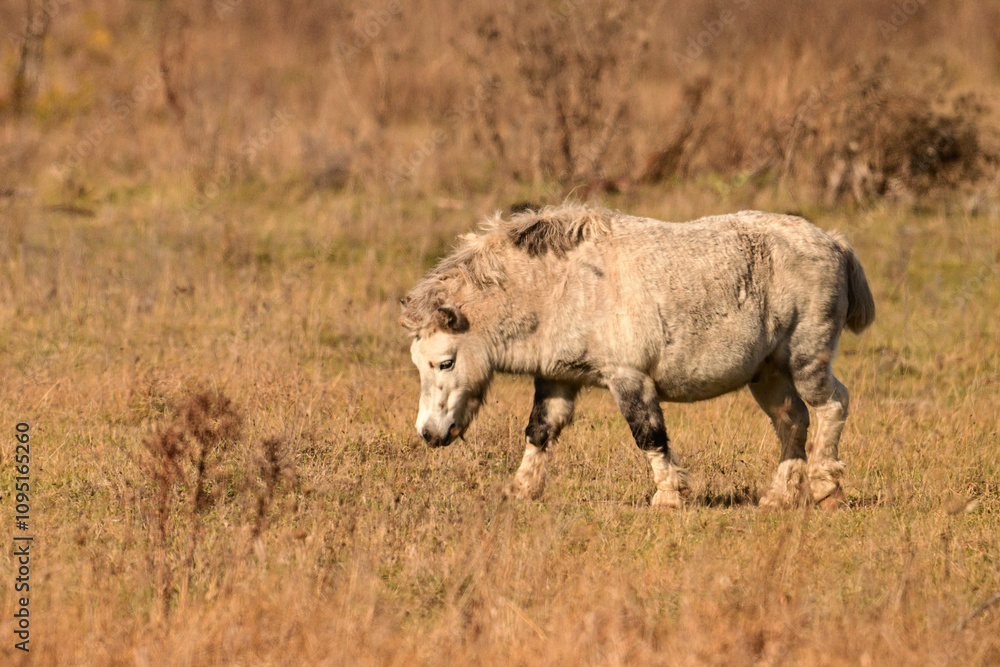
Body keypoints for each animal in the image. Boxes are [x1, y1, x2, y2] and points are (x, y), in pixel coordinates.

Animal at [399, 203, 875, 509]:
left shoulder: (628, 378)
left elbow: (648, 435)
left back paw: (825, 489)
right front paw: (520, 491)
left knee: (832, 405)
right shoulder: (557, 379)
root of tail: (834, 242)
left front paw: (668, 497)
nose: (429, 433)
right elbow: (539, 431)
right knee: (792, 420)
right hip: (768, 373)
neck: (565, 287)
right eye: (419, 365)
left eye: (445, 362)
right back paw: (779, 497)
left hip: (806, 360)